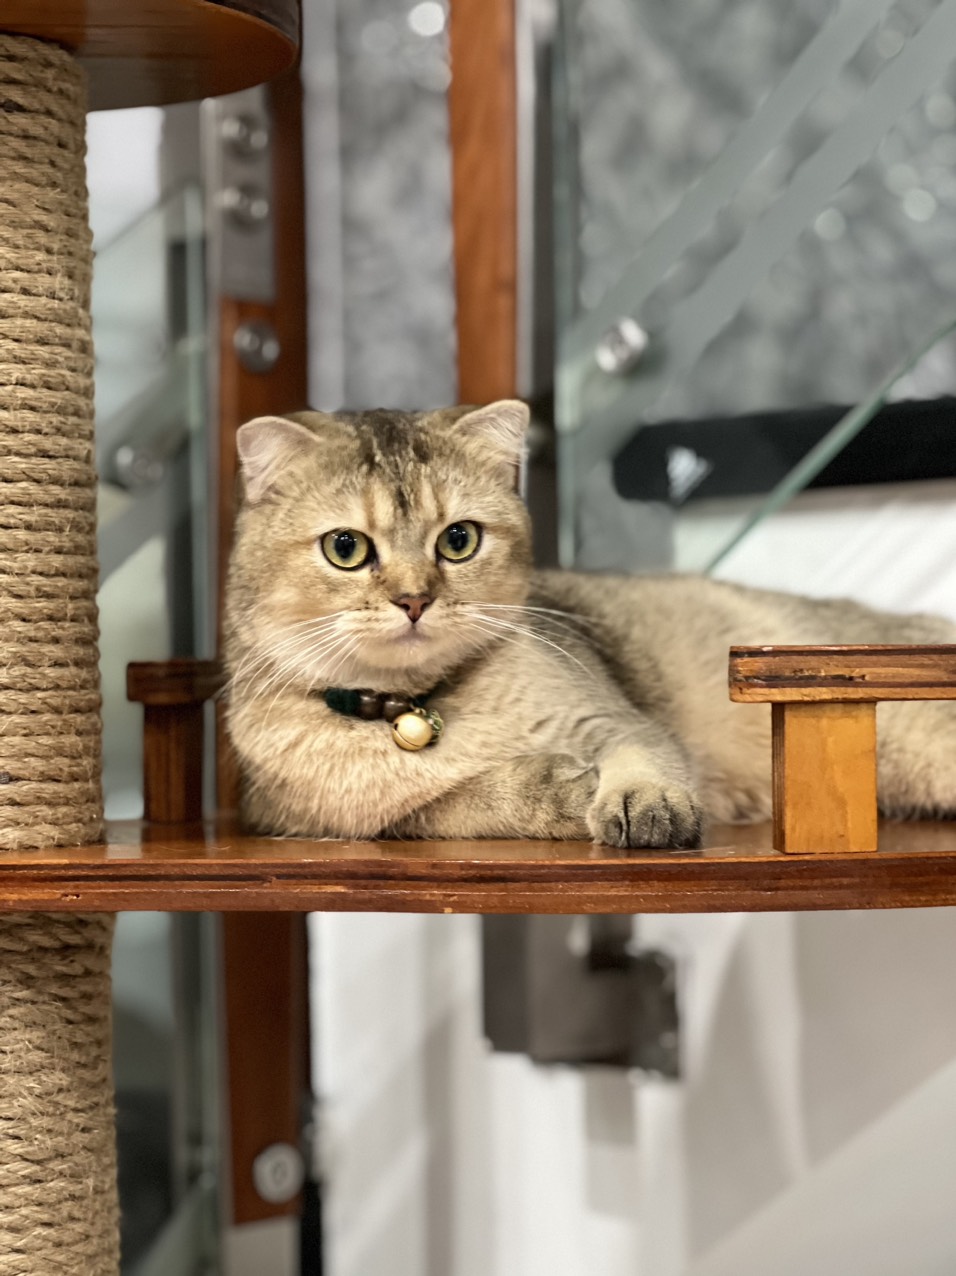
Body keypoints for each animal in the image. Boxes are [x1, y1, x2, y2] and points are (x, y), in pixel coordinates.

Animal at [223, 399, 956, 846]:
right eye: (345, 548)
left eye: (458, 540)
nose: (414, 599)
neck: (419, 710)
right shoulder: (313, 819)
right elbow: (449, 804)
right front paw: (555, 788)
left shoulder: (616, 718)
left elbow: (643, 754)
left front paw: (643, 800)